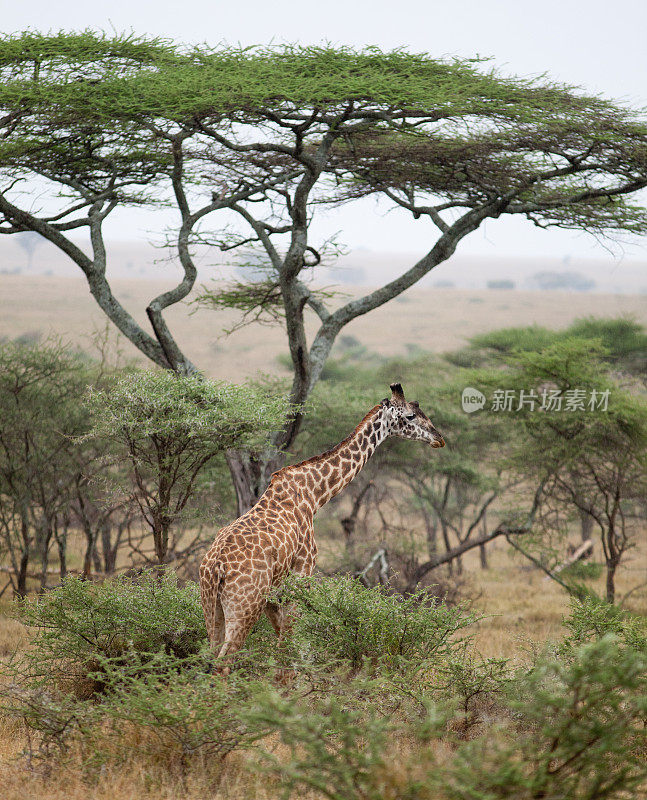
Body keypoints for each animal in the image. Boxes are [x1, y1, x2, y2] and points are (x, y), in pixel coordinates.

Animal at [200, 382, 446, 664]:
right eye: (410, 416)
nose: (439, 438)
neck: (315, 494)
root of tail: (216, 568)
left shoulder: (275, 595)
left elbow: (283, 645)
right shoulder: (301, 576)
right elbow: (287, 651)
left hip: (211, 608)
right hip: (246, 605)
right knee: (224, 662)